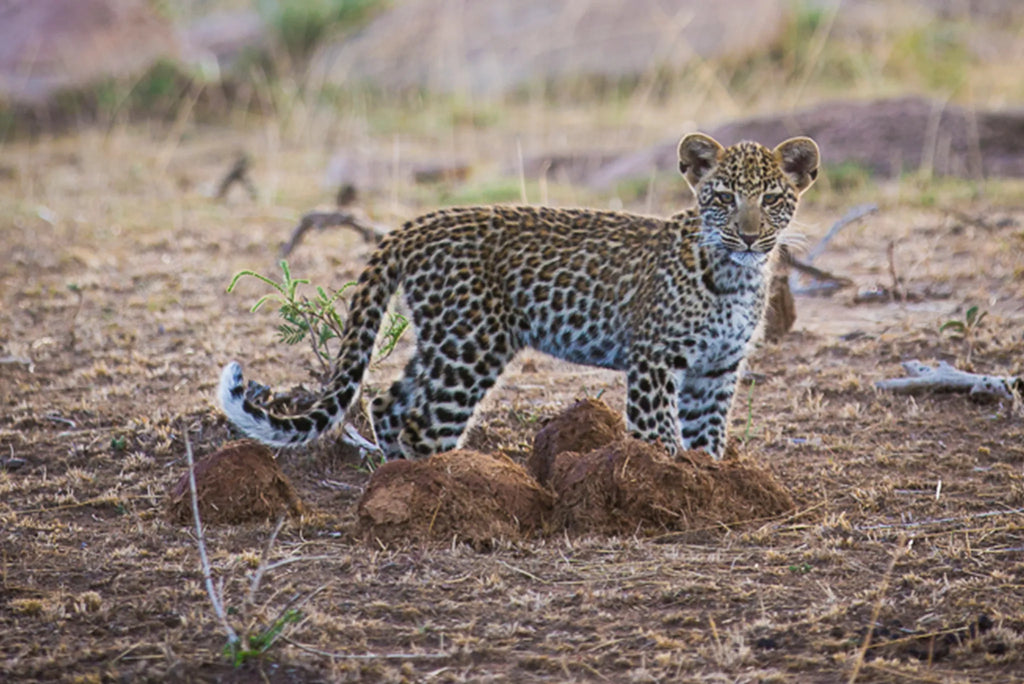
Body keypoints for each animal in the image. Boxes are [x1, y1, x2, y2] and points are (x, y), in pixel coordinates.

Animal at [218, 132, 819, 460]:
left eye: (771, 199)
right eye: (722, 197)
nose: (748, 235)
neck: (737, 277)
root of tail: (415, 224)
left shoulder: (716, 369)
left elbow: (706, 441)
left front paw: (708, 481)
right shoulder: (655, 360)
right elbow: (661, 439)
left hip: (445, 339)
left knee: (388, 401)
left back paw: (397, 475)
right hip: (472, 345)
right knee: (422, 422)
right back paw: (439, 486)